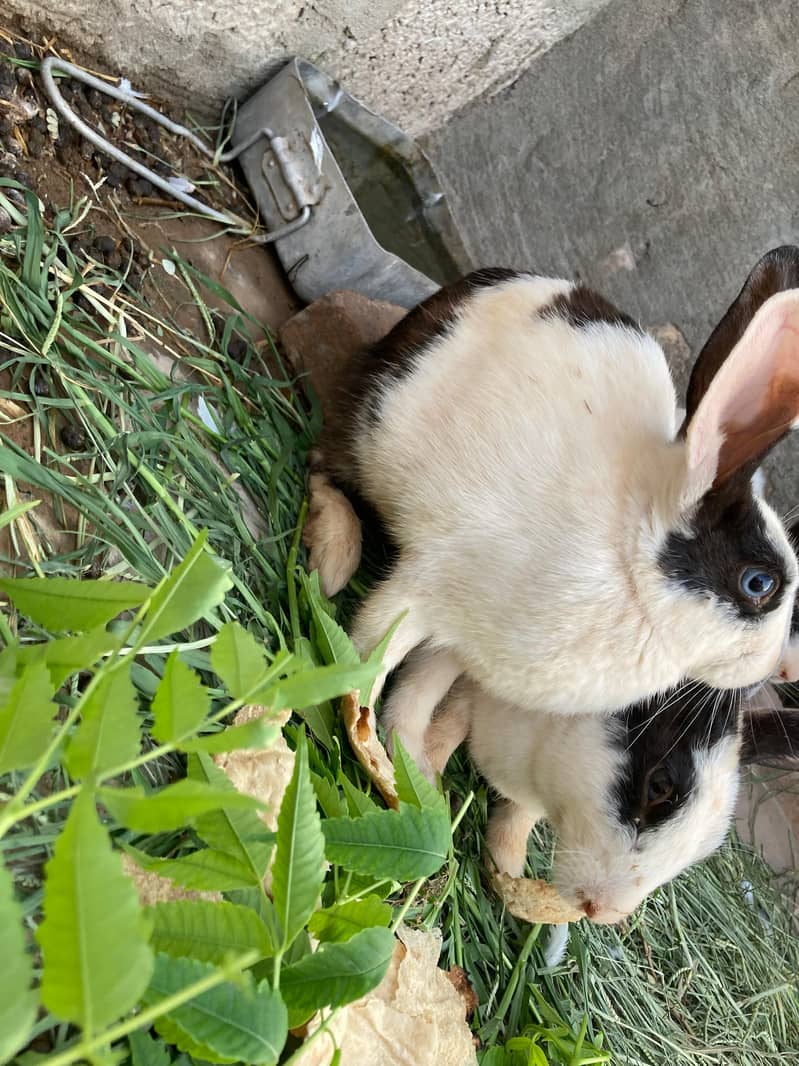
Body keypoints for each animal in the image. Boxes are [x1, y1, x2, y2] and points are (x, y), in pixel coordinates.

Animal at [307, 247, 799, 776]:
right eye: (759, 583)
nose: (775, 669)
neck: (629, 564)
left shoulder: (462, 644)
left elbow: (419, 689)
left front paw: (413, 765)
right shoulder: (422, 588)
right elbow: (370, 656)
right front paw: (370, 753)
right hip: (368, 422)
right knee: (323, 462)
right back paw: (333, 561)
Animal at [422, 668, 799, 925]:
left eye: (704, 849)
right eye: (658, 786)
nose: (598, 911)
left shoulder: (528, 800)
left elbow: (518, 820)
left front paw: (505, 872)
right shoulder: (471, 689)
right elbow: (447, 727)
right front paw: (425, 778)